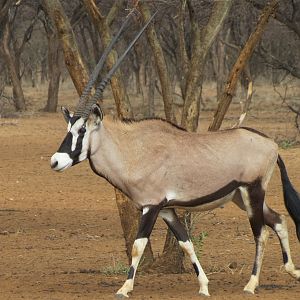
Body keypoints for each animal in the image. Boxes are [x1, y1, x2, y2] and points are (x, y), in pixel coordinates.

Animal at [50, 14, 298, 298]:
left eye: (81, 130)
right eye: (68, 128)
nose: (55, 161)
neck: (133, 150)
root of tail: (271, 144)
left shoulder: (151, 206)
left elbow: (138, 245)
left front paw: (124, 288)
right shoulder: (167, 209)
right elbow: (186, 243)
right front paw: (203, 286)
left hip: (252, 191)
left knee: (261, 233)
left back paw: (251, 283)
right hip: (239, 196)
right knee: (278, 220)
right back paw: (293, 271)